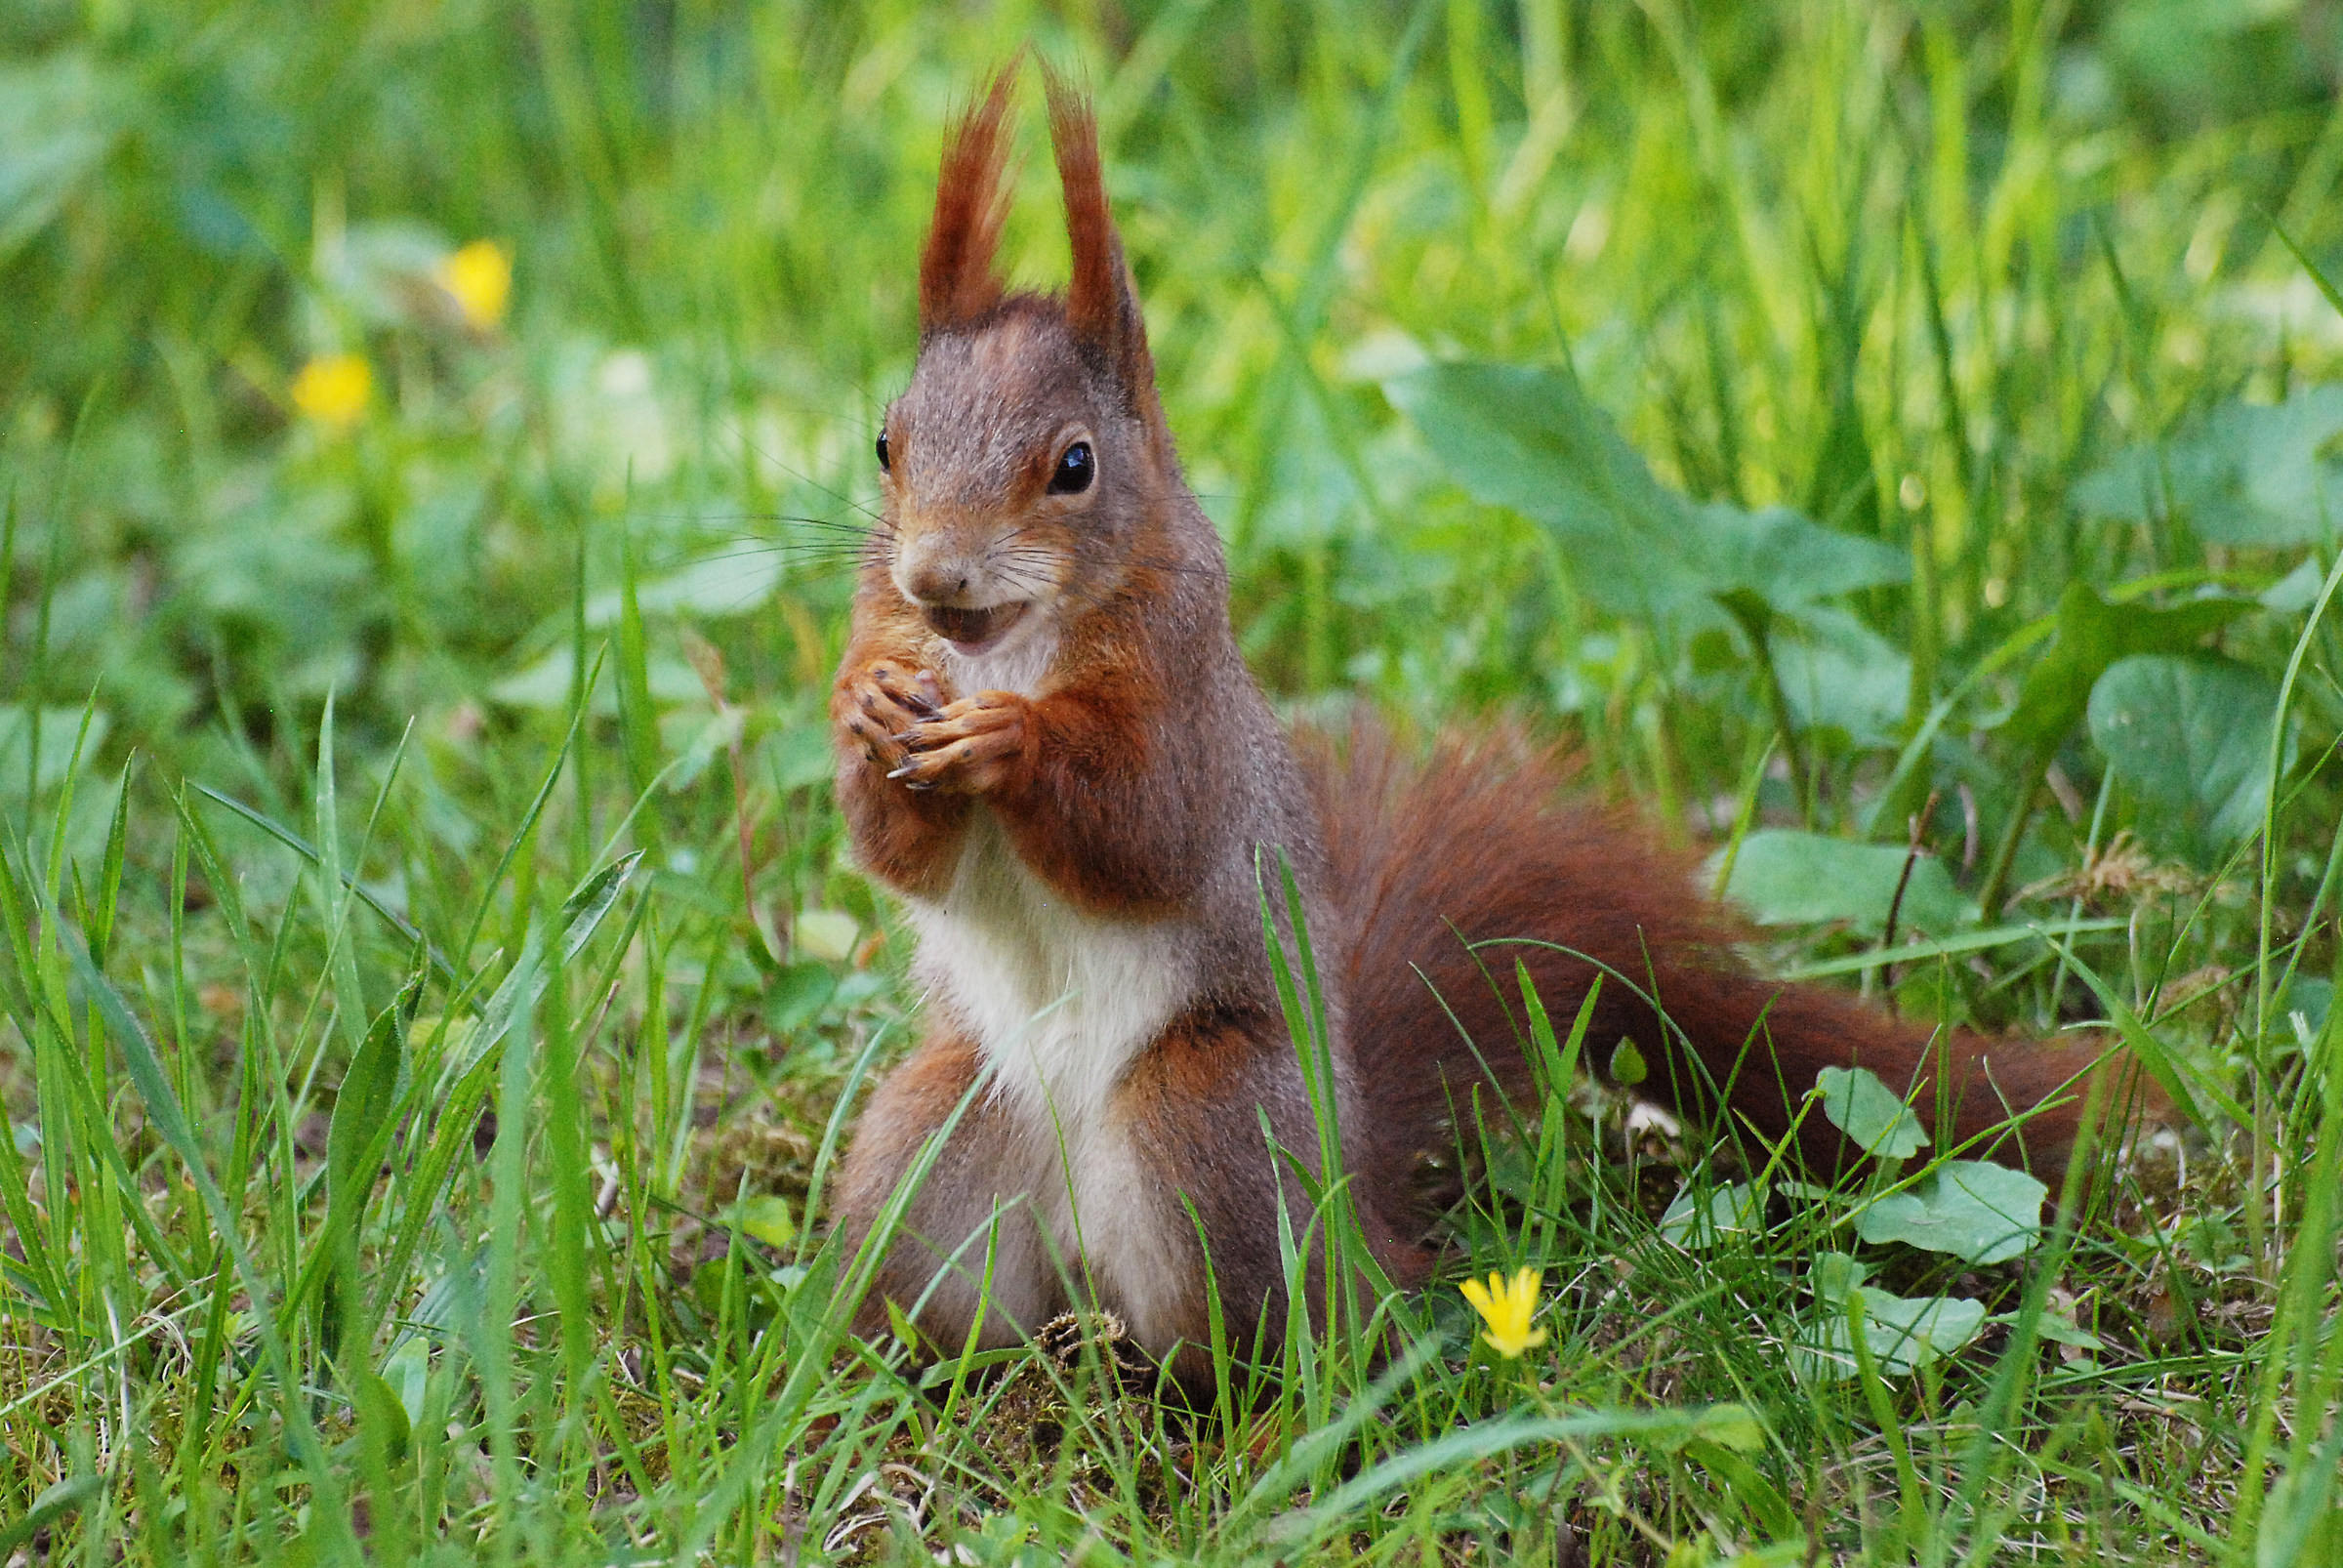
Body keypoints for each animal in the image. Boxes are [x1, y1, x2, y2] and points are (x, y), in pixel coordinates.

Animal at [827, 66, 2134, 1389]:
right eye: (886, 445)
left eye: (1077, 466)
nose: (935, 579)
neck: (1010, 647)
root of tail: (1353, 1199)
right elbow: (903, 853)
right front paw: (868, 709)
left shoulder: (1188, 698)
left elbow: (1149, 829)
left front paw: (1013, 743)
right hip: (935, 1135)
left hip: (1204, 1119)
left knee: (1282, 1345)